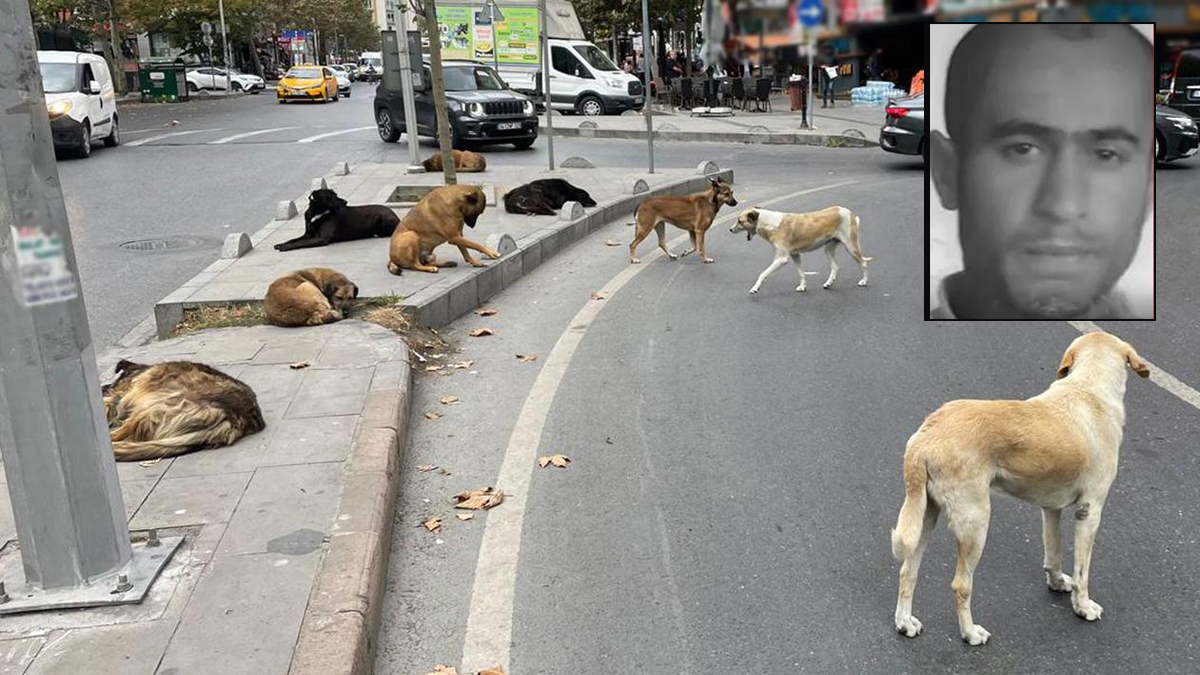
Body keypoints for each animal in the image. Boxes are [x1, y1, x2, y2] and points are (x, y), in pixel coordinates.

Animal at [102, 357, 266, 461]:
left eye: (112, 383)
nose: (103, 388)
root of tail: (234, 419)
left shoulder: (127, 398)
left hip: (155, 405)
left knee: (119, 433)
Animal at [724, 201, 868, 291]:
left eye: (740, 221)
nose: (730, 230)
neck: (770, 223)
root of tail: (849, 212)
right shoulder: (795, 254)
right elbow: (801, 272)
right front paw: (803, 287)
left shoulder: (781, 259)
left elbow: (762, 274)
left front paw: (755, 288)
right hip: (828, 249)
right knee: (835, 267)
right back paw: (828, 283)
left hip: (851, 247)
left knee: (863, 263)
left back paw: (864, 281)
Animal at [892, 331, 1152, 648]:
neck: (1089, 388)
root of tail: (925, 437)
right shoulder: (1090, 512)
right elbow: (1083, 573)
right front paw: (1083, 607)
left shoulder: (1050, 509)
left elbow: (1053, 554)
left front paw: (1057, 583)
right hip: (975, 524)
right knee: (960, 585)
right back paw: (970, 633)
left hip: (924, 516)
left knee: (908, 571)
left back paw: (904, 623)